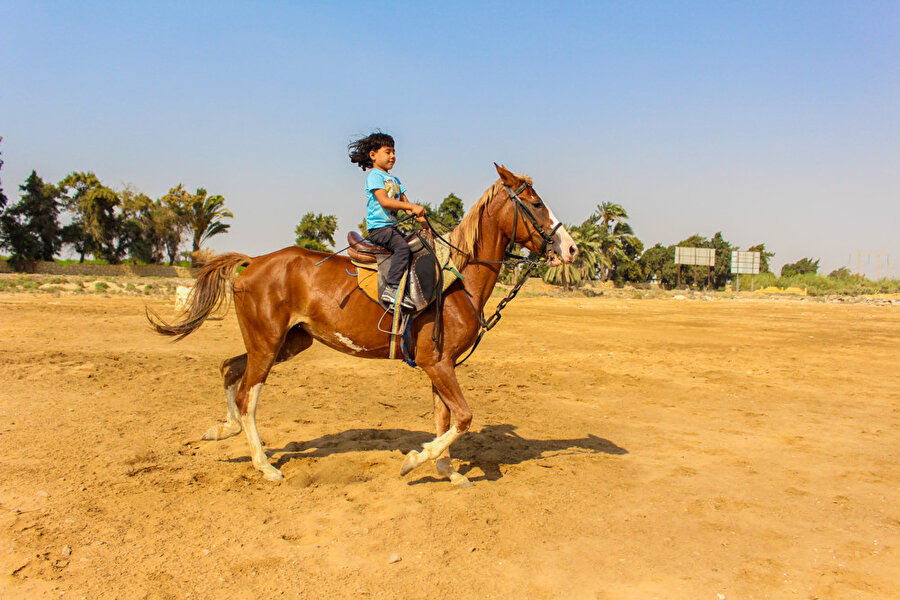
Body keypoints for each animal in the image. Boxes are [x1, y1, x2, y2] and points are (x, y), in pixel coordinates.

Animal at [149, 165, 576, 488]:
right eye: (536, 203)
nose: (570, 249)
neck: (458, 280)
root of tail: (253, 261)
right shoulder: (437, 364)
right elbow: (463, 418)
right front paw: (415, 460)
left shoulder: (441, 364)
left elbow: (445, 418)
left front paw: (446, 470)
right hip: (267, 343)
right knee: (246, 396)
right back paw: (264, 465)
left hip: (285, 343)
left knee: (229, 369)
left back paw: (223, 430)